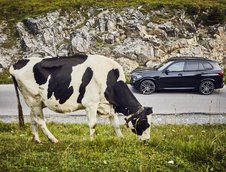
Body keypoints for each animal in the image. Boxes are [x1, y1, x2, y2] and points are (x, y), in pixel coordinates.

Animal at [9, 54, 153, 142]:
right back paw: (53, 140)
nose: (146, 141)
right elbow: (93, 124)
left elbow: (115, 124)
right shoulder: (91, 104)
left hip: (35, 102)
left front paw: (120, 138)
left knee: (32, 119)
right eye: (145, 122)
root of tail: (16, 63)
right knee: (40, 121)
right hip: (34, 99)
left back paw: (37, 140)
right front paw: (92, 141)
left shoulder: (109, 104)